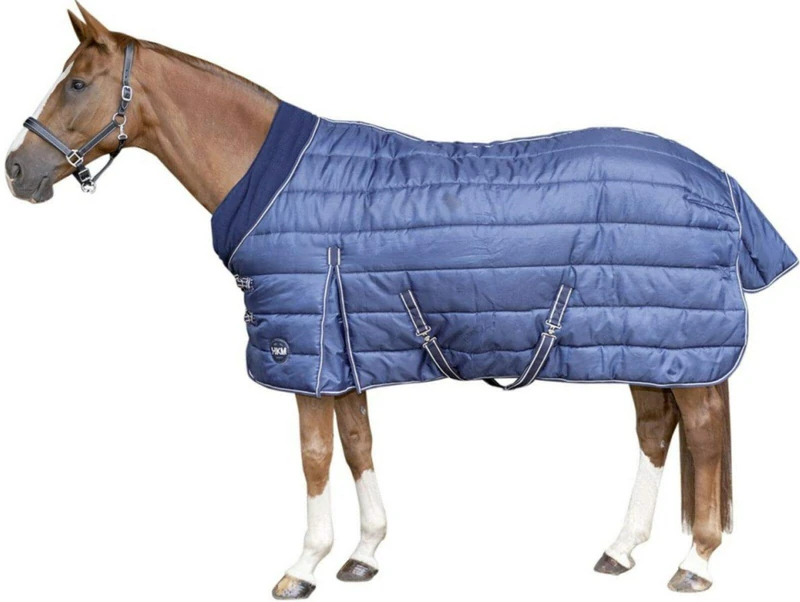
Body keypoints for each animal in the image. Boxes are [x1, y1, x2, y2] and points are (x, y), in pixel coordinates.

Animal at [5, 5, 795, 598]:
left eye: (77, 84)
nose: (17, 169)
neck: (276, 181)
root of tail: (722, 183)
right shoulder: (347, 345)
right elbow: (357, 444)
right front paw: (364, 555)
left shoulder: (307, 351)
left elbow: (315, 456)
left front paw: (302, 567)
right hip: (644, 345)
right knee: (658, 432)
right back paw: (622, 549)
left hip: (678, 348)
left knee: (701, 435)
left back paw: (694, 563)